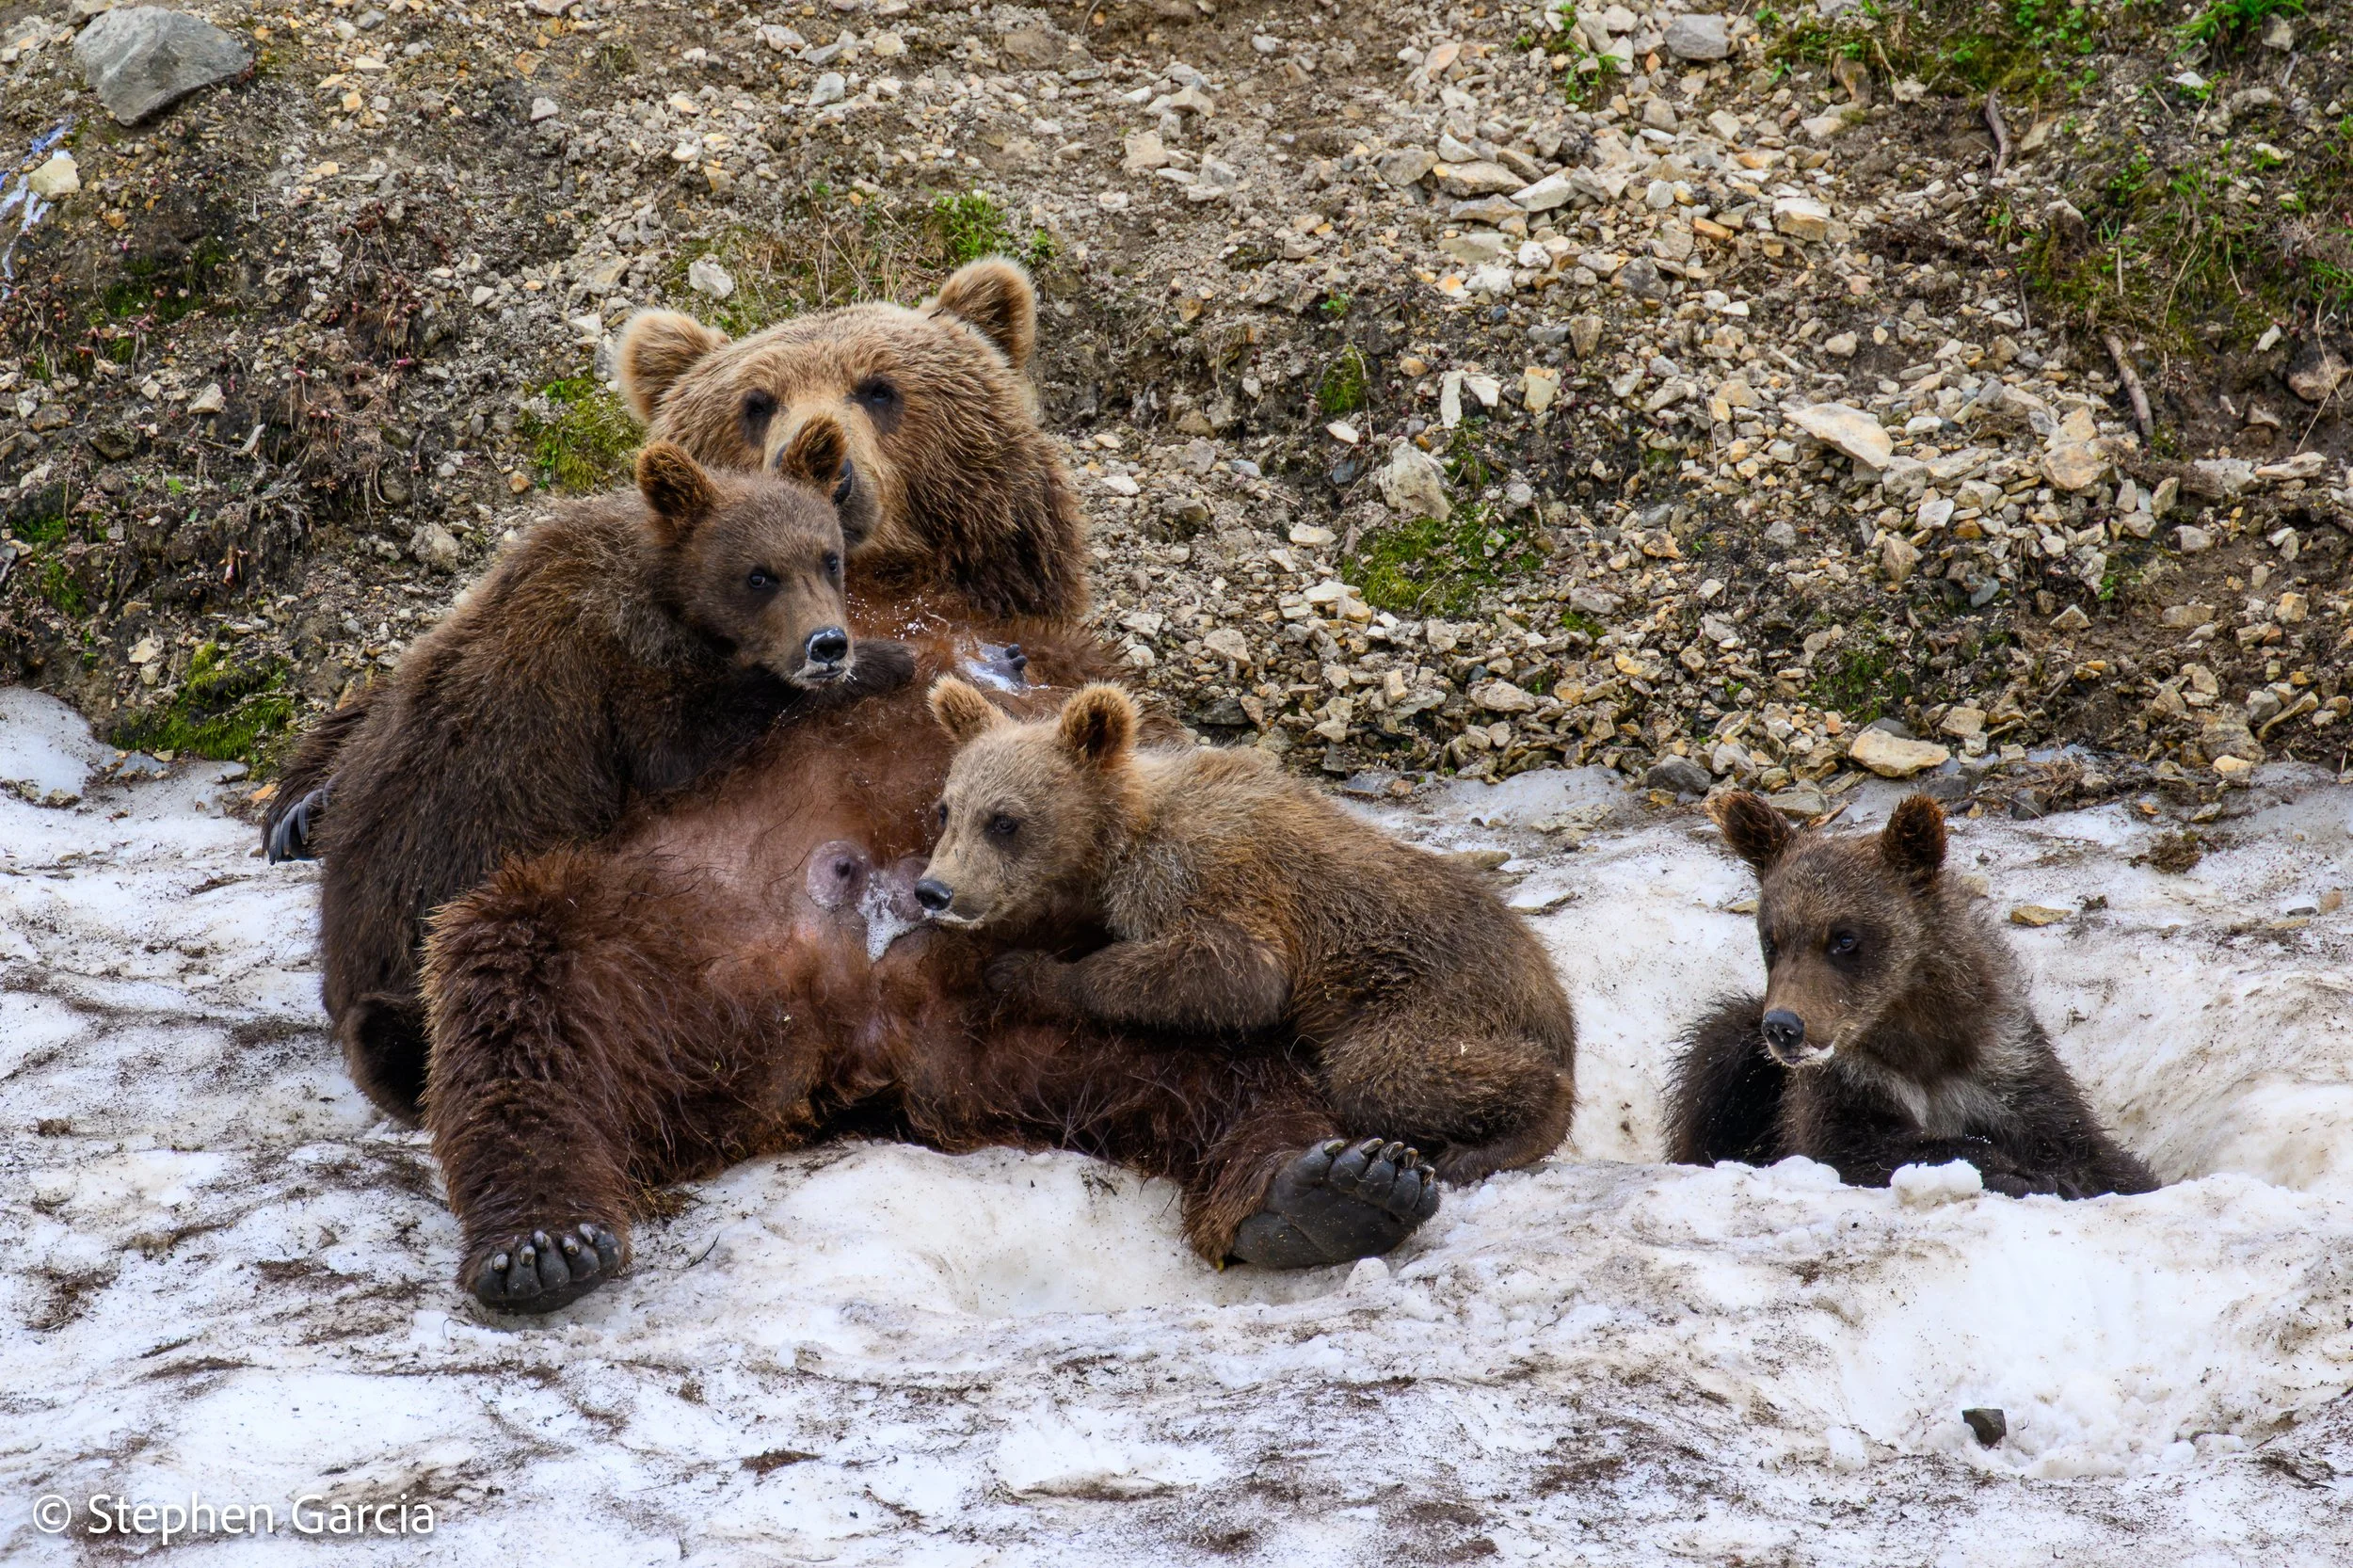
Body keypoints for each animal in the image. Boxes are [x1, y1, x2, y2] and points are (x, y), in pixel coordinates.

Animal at [304, 427, 914, 1117]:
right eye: (759, 575)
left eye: (827, 558)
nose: (828, 645)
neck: (669, 596)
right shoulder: (622, 675)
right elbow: (686, 741)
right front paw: (890, 658)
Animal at [913, 678, 1579, 1247]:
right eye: (947, 808)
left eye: (1004, 819)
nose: (934, 890)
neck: (1120, 837)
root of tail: (1549, 992)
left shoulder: (1201, 874)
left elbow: (1236, 973)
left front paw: (1024, 971)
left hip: (1429, 995)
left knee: (1387, 1073)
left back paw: (1499, 1140)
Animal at [1667, 790, 2157, 1199]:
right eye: (1772, 939)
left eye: (1844, 938)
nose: (1785, 1027)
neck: (1918, 1041)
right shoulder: (1848, 1084)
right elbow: (1853, 1147)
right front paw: (2019, 1173)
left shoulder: (2006, 1067)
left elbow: (2090, 1151)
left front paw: (2066, 1176)